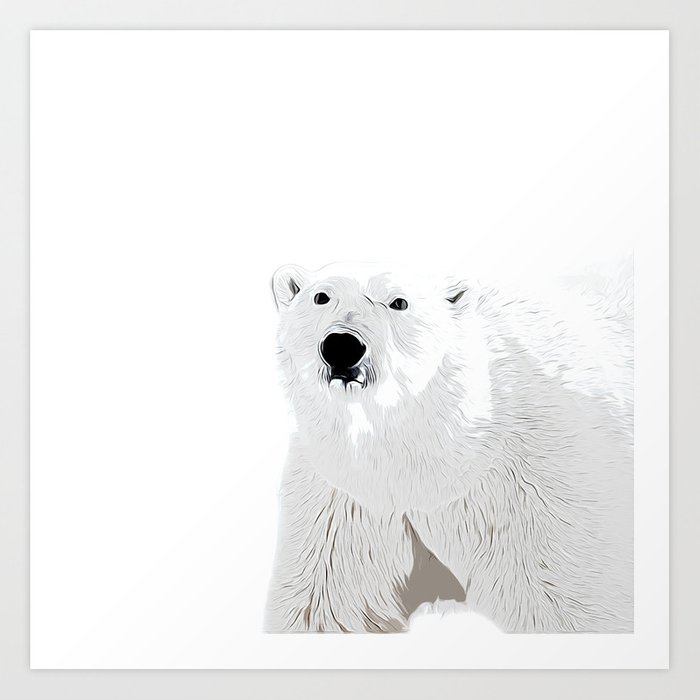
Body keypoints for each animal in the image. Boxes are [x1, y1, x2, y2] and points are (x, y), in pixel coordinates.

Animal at [264, 261, 633, 633]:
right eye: (321, 297)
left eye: (399, 302)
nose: (342, 346)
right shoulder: (345, 498)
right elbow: (324, 605)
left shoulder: (535, 491)